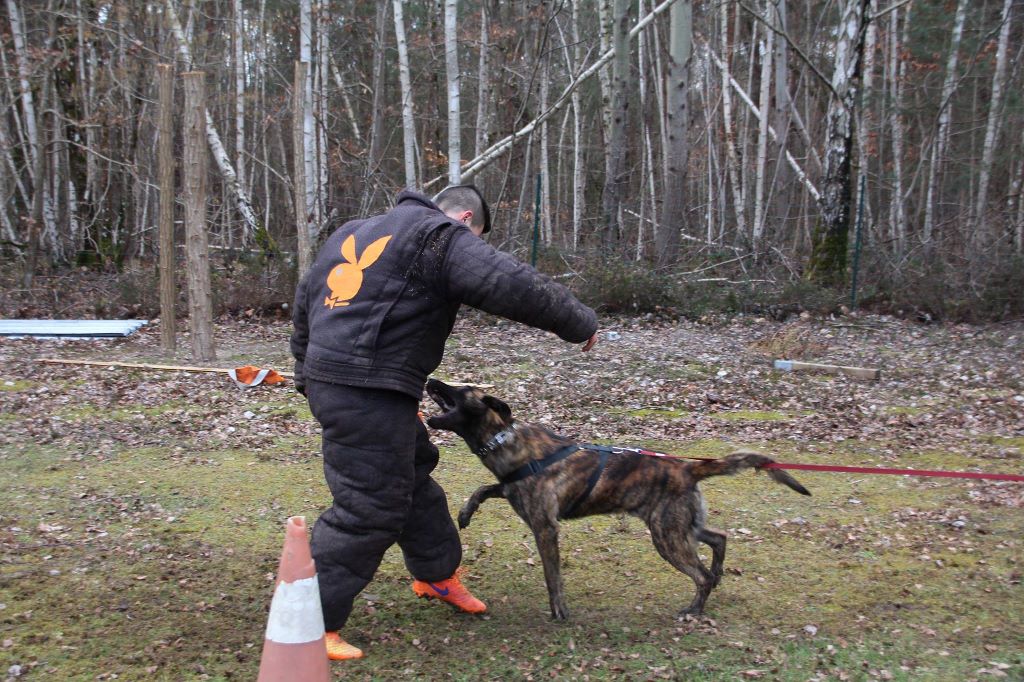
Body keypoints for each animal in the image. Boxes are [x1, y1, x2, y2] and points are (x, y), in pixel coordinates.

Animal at [423, 378, 806, 618]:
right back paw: (718, 573)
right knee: (719, 538)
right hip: (682, 527)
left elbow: (552, 576)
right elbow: (485, 489)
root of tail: (686, 467)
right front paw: (465, 513)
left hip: (666, 537)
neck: (504, 439)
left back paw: (694, 610)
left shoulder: (545, 528)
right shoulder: (511, 490)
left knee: (701, 576)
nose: (430, 380)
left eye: (462, 389)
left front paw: (559, 611)